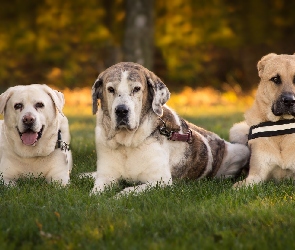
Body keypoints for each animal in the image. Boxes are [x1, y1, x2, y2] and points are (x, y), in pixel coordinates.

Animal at [89, 62, 250, 195]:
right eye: (110, 89)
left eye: (136, 89)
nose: (121, 110)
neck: (126, 144)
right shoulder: (106, 176)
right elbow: (95, 192)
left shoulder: (160, 181)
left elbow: (128, 190)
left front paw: (116, 196)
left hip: (239, 152)